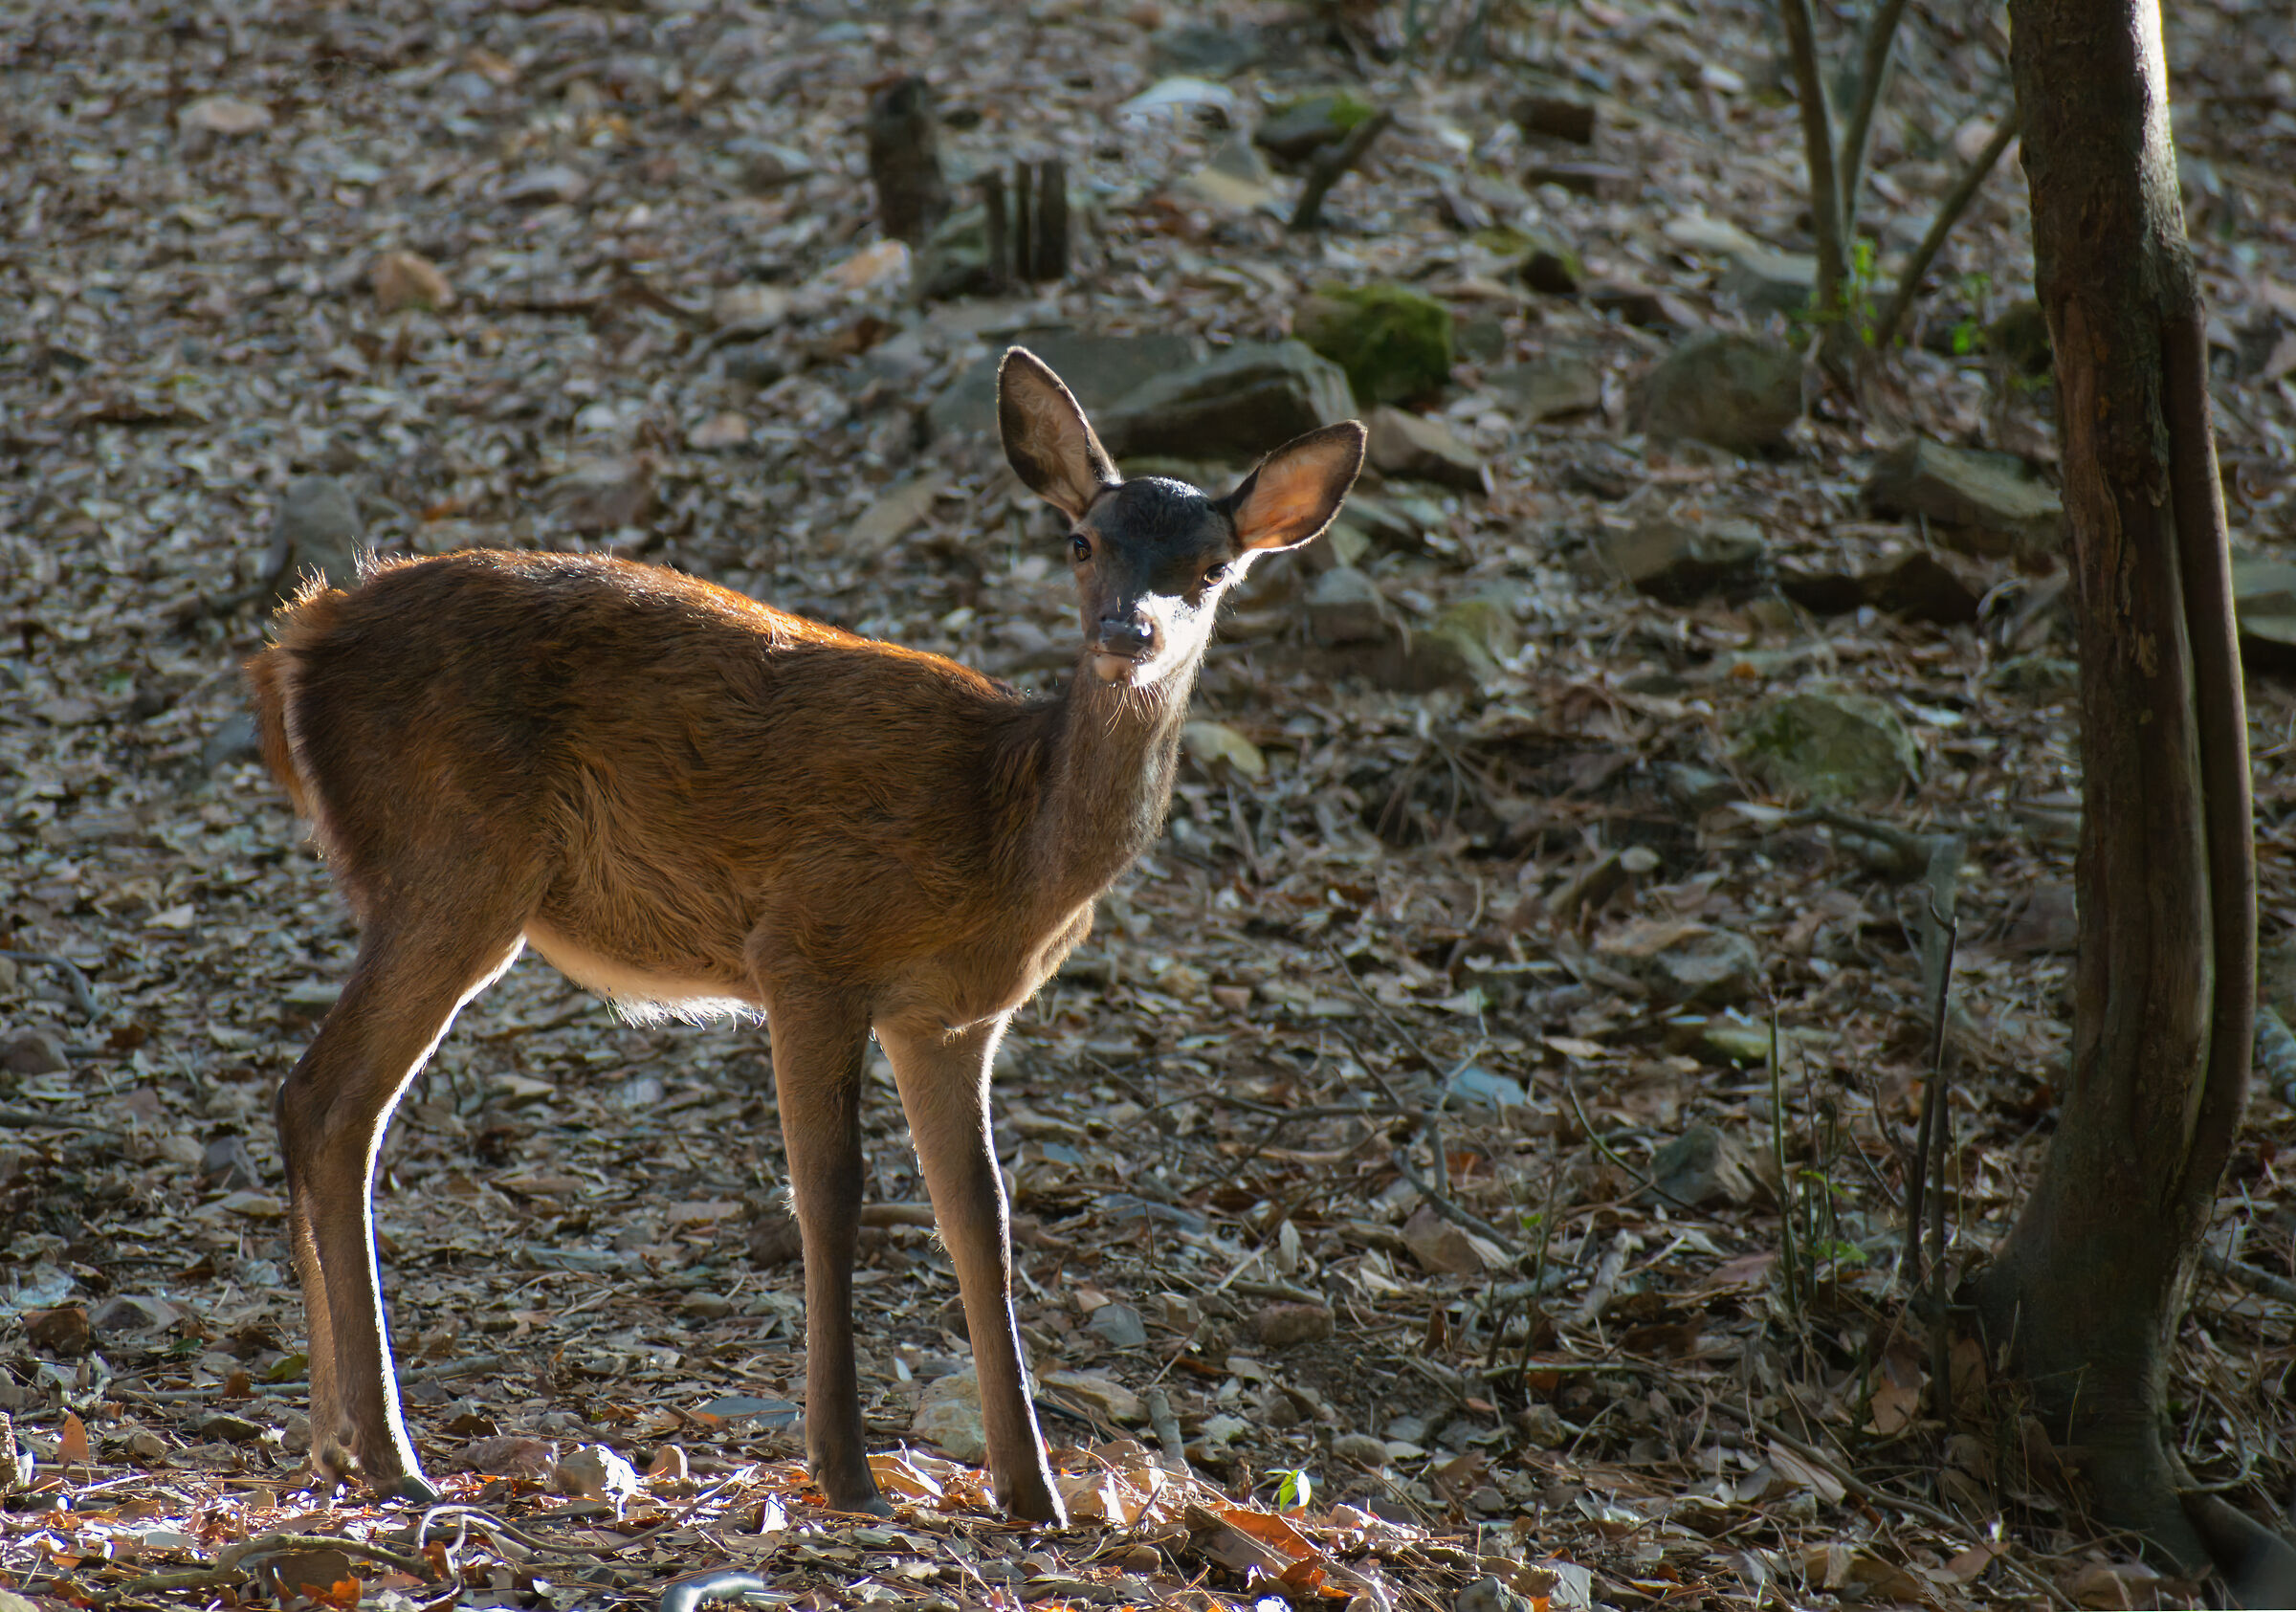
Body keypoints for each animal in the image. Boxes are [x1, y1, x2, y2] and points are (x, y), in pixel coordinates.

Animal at [246, 348, 1364, 1523]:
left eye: (1213, 568)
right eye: (1082, 542)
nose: (1126, 632)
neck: (1009, 835)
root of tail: (295, 642)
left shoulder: (951, 1018)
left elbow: (982, 1216)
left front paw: (1032, 1489)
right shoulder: (810, 945)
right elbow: (830, 1192)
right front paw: (845, 1464)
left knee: (314, 1101)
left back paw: (332, 1442)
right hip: (456, 861)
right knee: (331, 1100)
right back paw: (386, 1450)